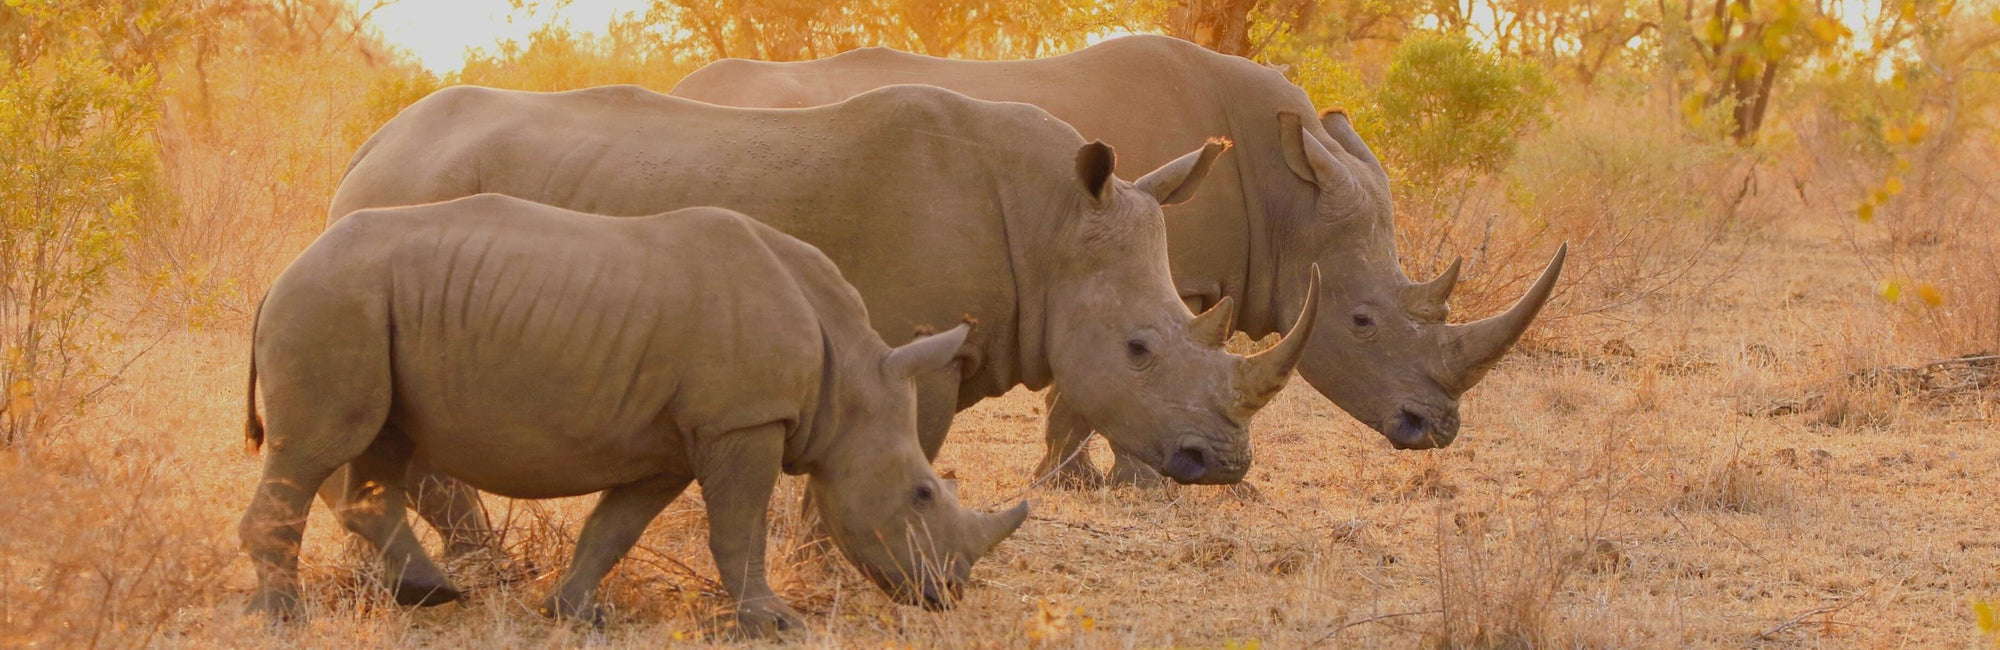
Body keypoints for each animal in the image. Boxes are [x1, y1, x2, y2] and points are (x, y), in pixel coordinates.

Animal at [239, 196, 1029, 635]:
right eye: (922, 495)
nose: (949, 593)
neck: (850, 379)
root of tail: (281, 273)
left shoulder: (675, 443)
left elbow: (615, 527)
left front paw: (575, 614)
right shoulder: (743, 422)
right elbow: (738, 529)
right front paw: (775, 623)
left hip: (362, 306)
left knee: (382, 446)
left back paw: (431, 595)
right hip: (335, 299)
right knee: (316, 450)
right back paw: (286, 617)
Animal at [323, 84, 1317, 562]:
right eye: (1140, 349)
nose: (1225, 463)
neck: (1049, 223)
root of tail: (368, 147)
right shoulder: (915, 352)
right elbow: (897, 452)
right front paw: (838, 557)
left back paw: (477, 563)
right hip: (412, 202)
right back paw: (474, 564)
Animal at [670, 34, 1566, 486]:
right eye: (1362, 321)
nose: (1435, 431)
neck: (1289, 197)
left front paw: (1082, 479)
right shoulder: (1161, 270)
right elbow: (1110, 382)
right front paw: (1117, 483)